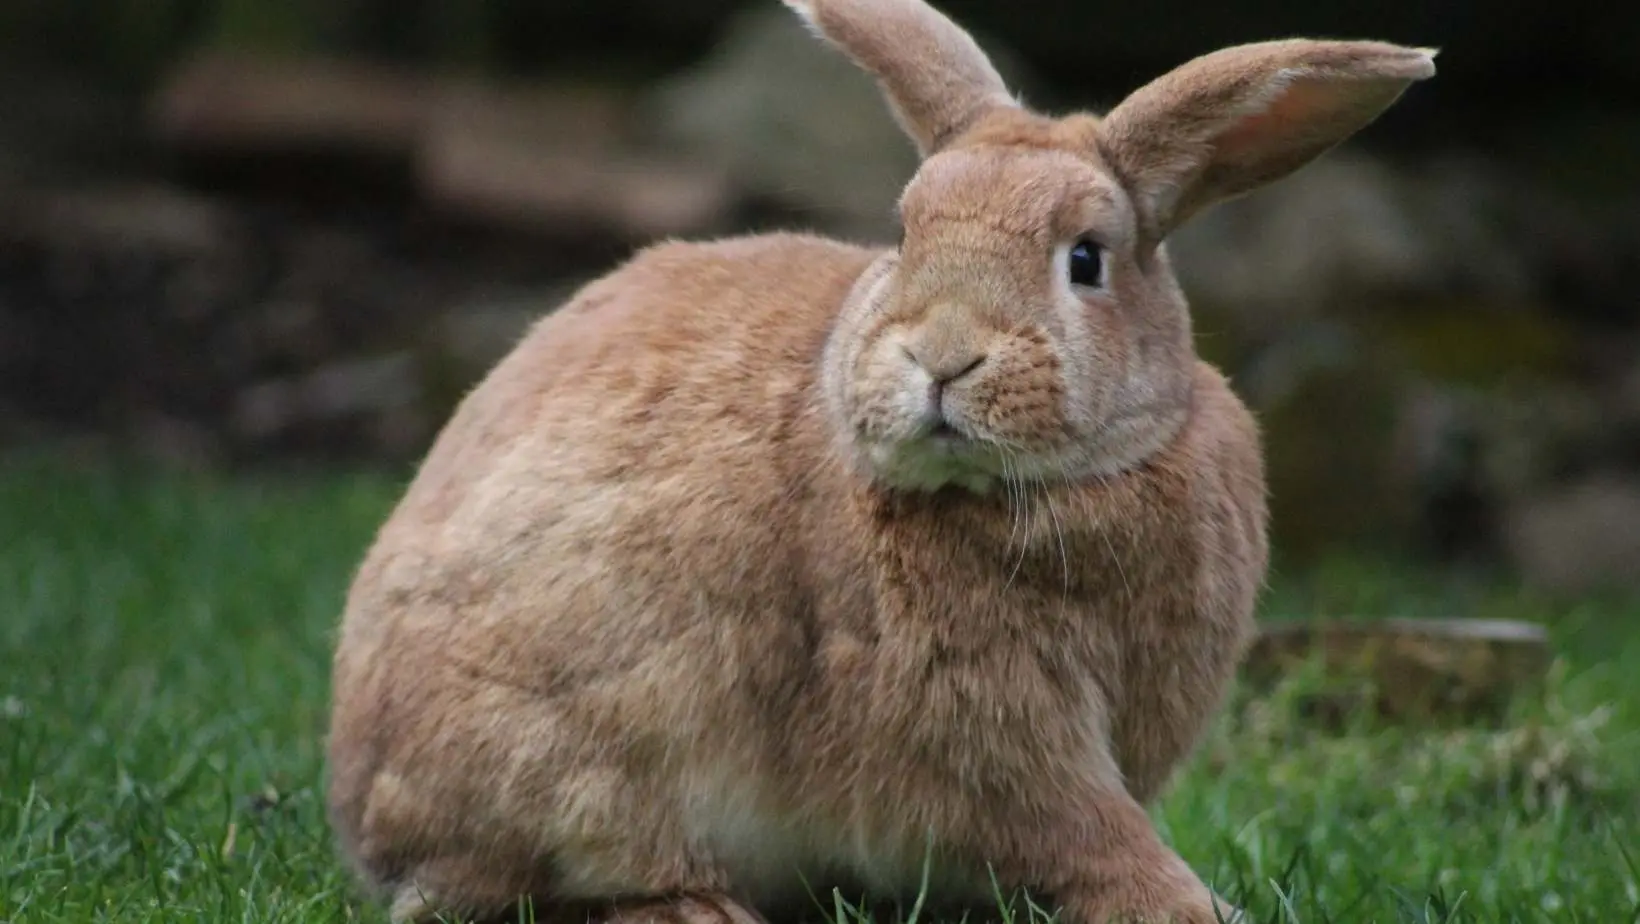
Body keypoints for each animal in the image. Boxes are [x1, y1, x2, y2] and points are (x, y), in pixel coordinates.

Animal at [323, 1, 1436, 924]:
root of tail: (363, 800)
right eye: (903, 235)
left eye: (1085, 259)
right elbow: (1083, 831)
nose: (941, 356)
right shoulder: (994, 732)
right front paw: (1192, 906)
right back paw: (698, 912)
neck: (1049, 488)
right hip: (591, 760)